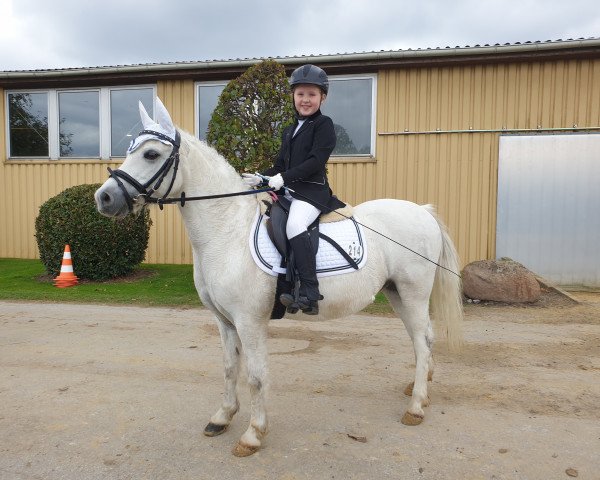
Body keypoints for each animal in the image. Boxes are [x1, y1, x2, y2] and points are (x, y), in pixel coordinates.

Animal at [95, 98, 464, 458]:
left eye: (151, 154)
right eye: (131, 149)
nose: (104, 198)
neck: (226, 230)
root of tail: (423, 211)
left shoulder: (249, 321)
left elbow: (256, 376)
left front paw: (253, 435)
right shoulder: (224, 321)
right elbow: (230, 368)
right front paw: (222, 417)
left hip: (413, 293)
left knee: (422, 341)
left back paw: (416, 407)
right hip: (396, 293)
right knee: (422, 340)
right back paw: (419, 389)